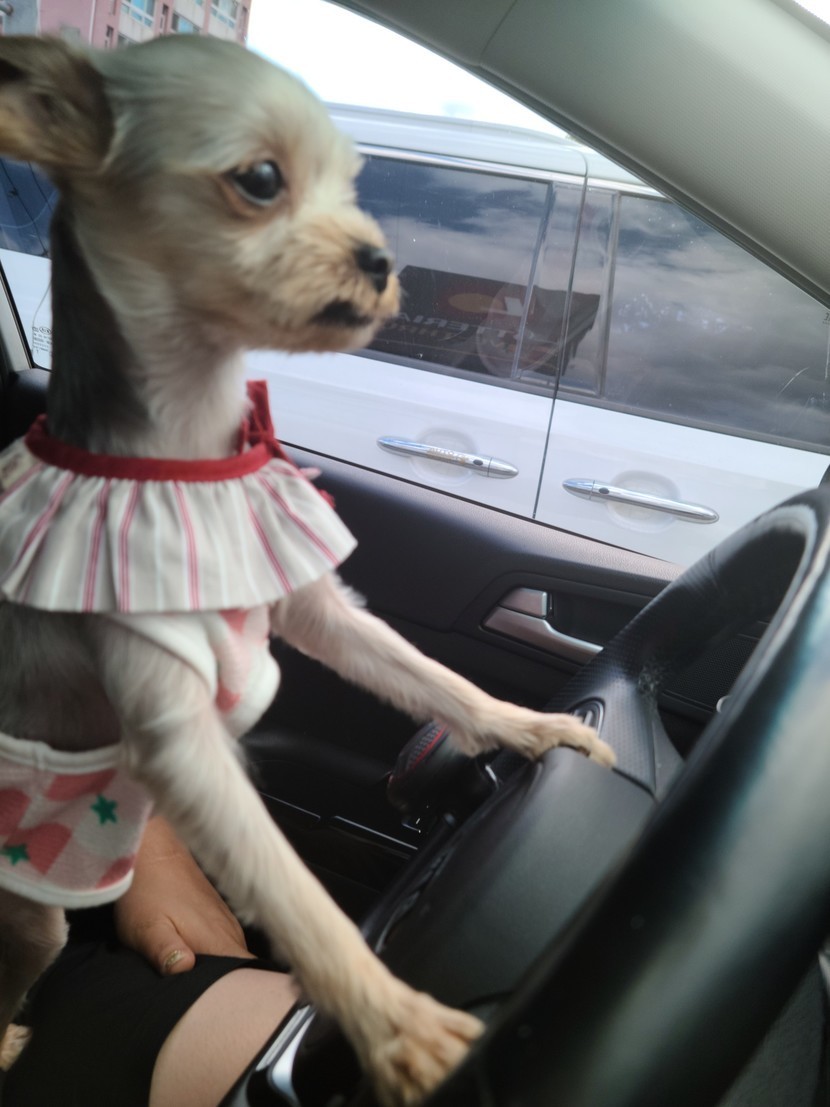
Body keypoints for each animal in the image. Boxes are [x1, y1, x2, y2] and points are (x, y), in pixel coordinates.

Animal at [0, 34, 615, 1107]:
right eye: (259, 179)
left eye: (353, 185)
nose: (382, 260)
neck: (190, 455)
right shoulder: (179, 736)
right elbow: (289, 891)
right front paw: (399, 1026)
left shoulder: (317, 608)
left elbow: (433, 679)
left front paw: (537, 728)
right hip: (36, 908)